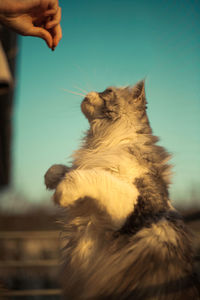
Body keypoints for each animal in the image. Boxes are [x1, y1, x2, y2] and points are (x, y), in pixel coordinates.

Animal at [44, 80, 199, 300]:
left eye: (107, 91)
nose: (91, 92)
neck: (105, 141)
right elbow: (66, 169)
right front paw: (52, 178)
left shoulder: (126, 207)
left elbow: (93, 176)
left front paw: (62, 192)